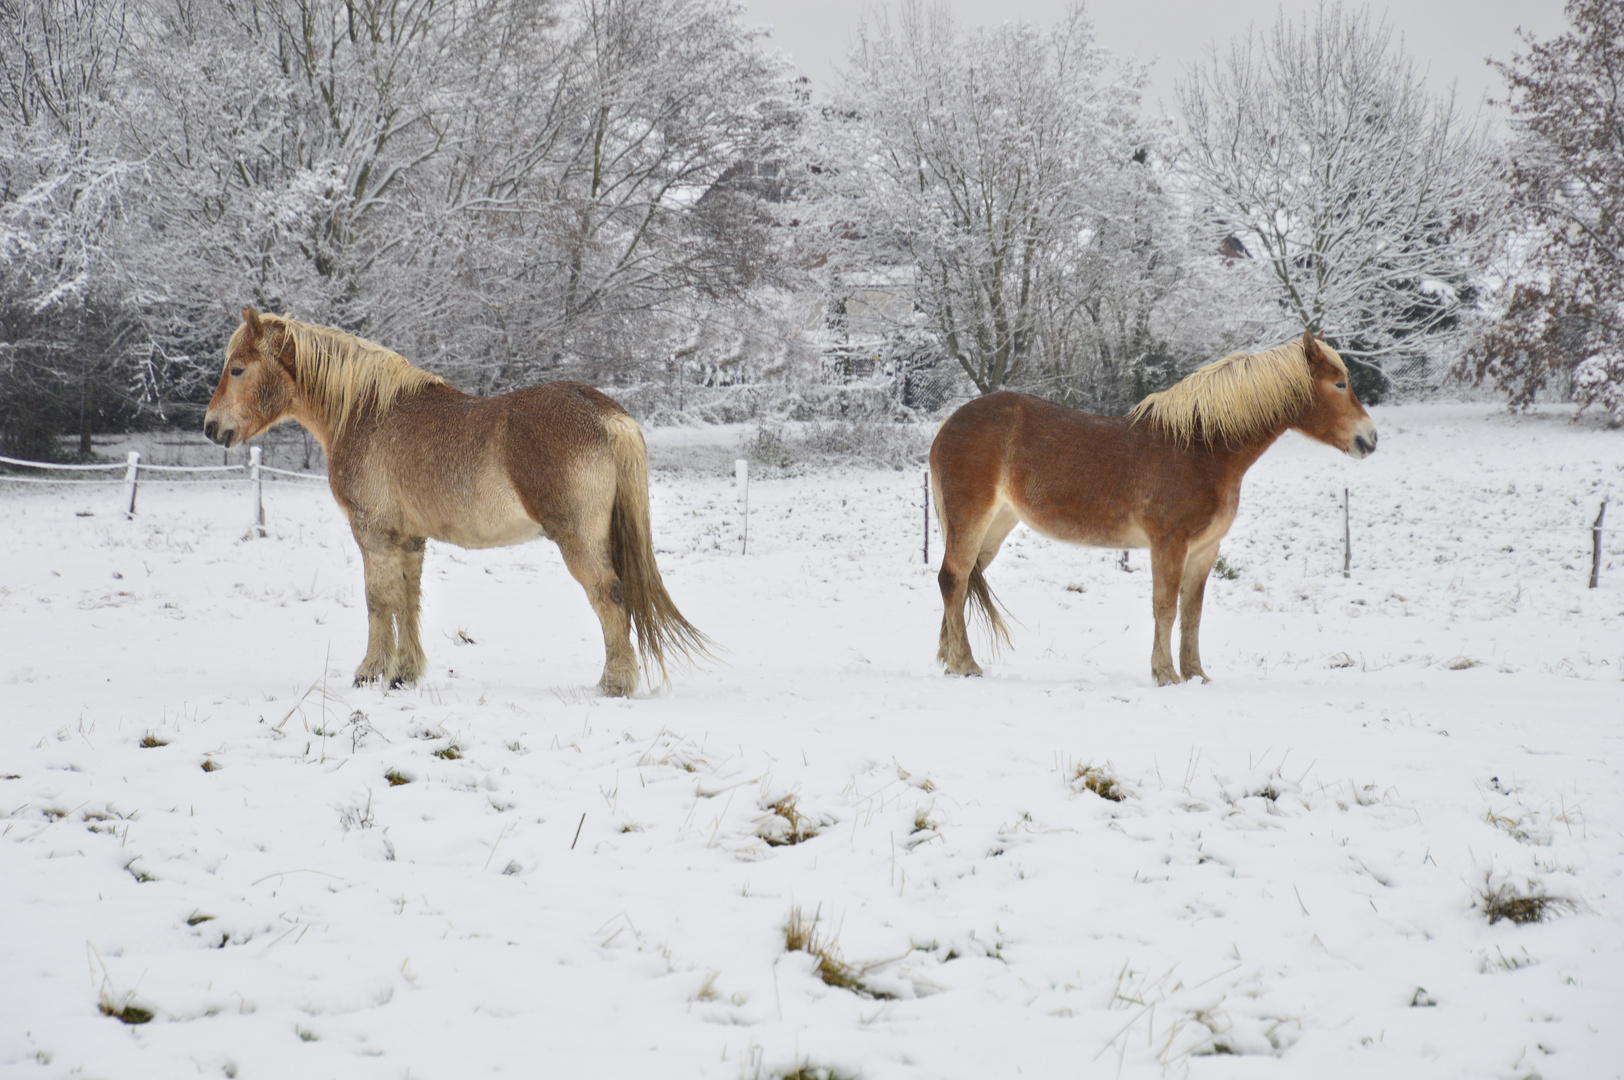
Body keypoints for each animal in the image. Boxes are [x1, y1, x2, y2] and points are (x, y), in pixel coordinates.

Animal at [204, 305, 711, 691]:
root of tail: (607, 414)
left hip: (579, 541)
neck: (368, 414)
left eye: (237, 368)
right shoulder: (409, 539)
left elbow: (377, 600)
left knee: (610, 595)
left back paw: (615, 683)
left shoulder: (373, 533)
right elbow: (408, 599)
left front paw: (369, 672)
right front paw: (404, 674)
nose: (211, 427)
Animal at [935, 331, 1377, 682]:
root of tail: (947, 427)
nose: (1370, 439)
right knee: (953, 580)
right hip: (971, 520)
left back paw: (947, 657)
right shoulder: (1170, 544)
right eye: (1339, 383)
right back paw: (964, 664)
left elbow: (1192, 614)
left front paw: (1196, 674)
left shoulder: (1204, 551)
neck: (1201, 448)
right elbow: (1165, 608)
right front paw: (1166, 674)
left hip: (996, 526)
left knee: (961, 583)